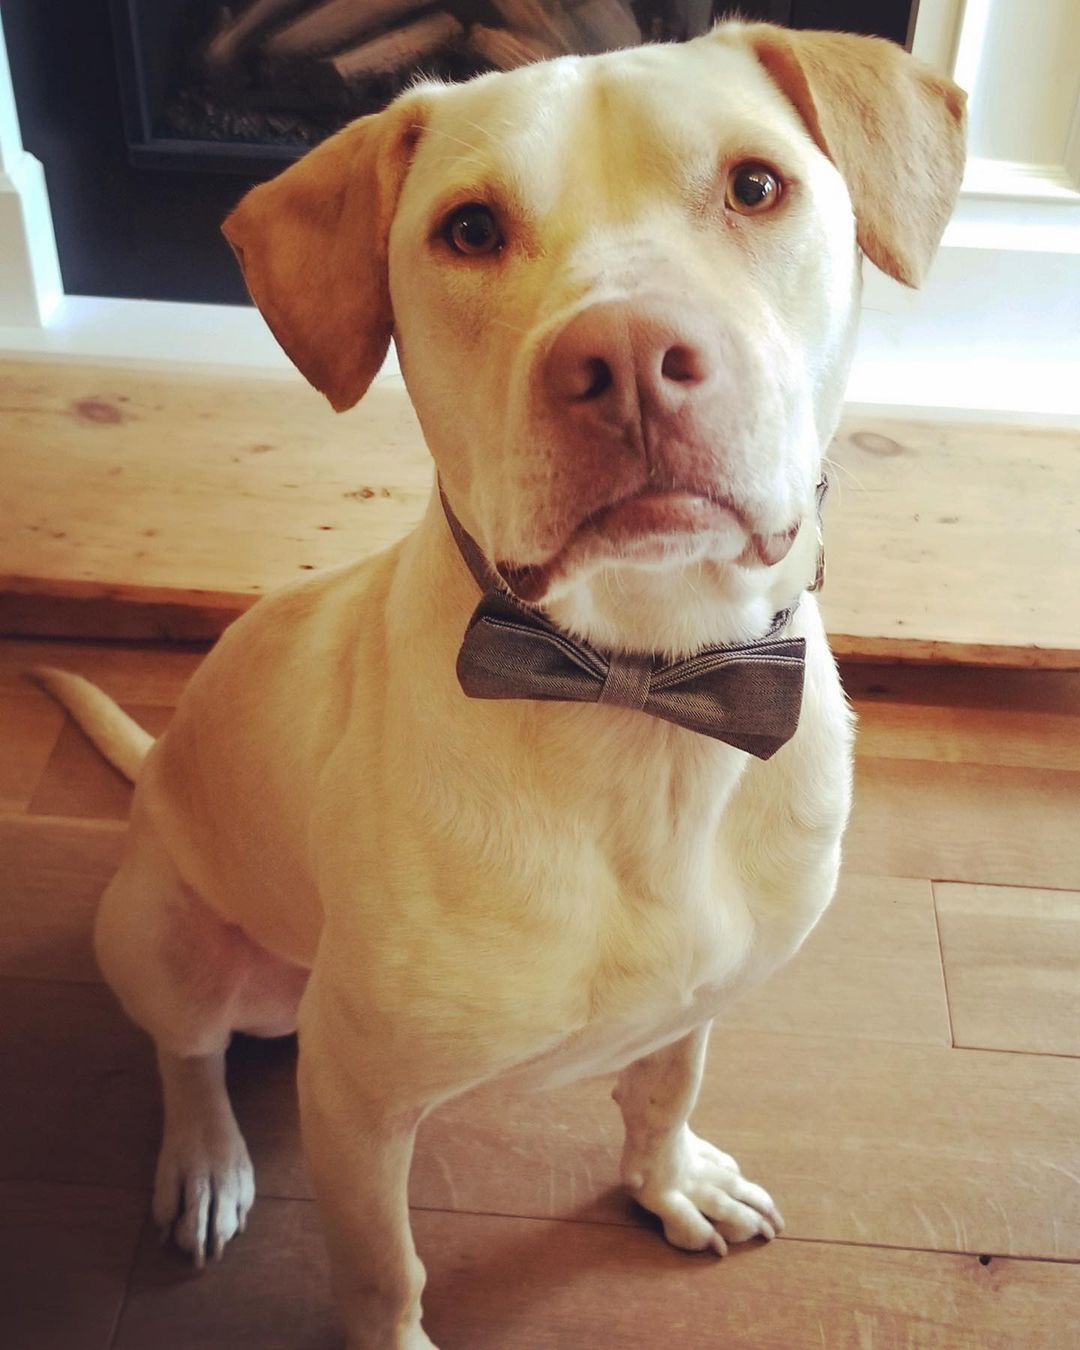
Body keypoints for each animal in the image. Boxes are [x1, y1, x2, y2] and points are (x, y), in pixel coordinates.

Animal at [37, 21, 966, 1350]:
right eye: (469, 229)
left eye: (755, 185)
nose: (627, 357)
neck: (640, 692)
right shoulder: (355, 1103)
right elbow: (382, 1271)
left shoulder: (695, 1000)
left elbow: (662, 1088)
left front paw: (668, 1183)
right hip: (173, 939)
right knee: (187, 1054)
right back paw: (206, 1159)